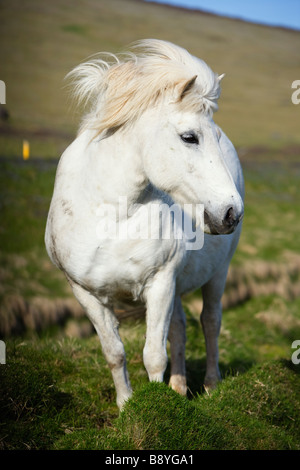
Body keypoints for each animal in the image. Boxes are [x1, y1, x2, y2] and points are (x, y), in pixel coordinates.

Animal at [45, 39, 245, 408]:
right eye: (189, 137)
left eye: (214, 135)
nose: (231, 213)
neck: (111, 218)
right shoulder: (85, 293)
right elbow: (115, 353)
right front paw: (127, 407)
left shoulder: (160, 282)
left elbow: (154, 355)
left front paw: (156, 408)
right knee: (179, 328)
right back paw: (179, 388)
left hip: (218, 274)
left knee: (210, 322)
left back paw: (211, 386)